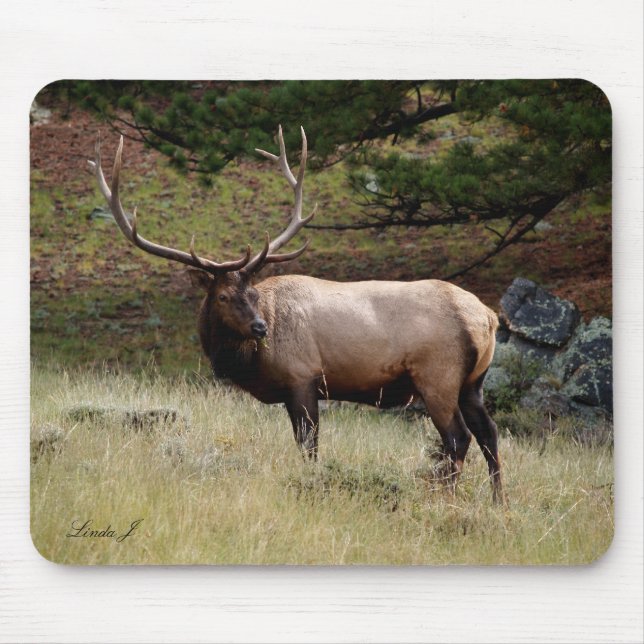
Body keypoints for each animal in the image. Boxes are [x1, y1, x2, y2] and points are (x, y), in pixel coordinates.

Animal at [89, 126, 504, 503]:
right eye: (223, 295)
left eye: (252, 293)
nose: (259, 327)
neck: (249, 363)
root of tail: (488, 317)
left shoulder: (302, 377)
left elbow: (309, 447)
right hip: (473, 382)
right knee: (489, 433)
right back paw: (499, 502)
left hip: (438, 375)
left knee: (458, 438)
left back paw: (445, 498)